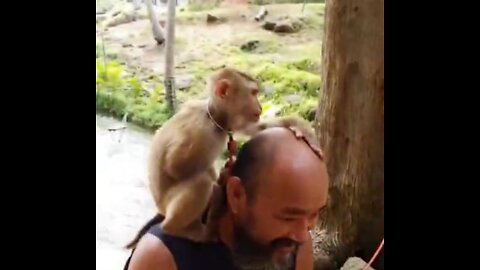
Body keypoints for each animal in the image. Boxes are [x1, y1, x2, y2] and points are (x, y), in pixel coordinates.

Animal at [129, 66, 264, 246]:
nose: (260, 107)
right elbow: (175, 166)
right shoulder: (202, 131)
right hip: (168, 205)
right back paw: (176, 228)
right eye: (253, 93)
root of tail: (161, 208)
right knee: (201, 182)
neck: (214, 117)